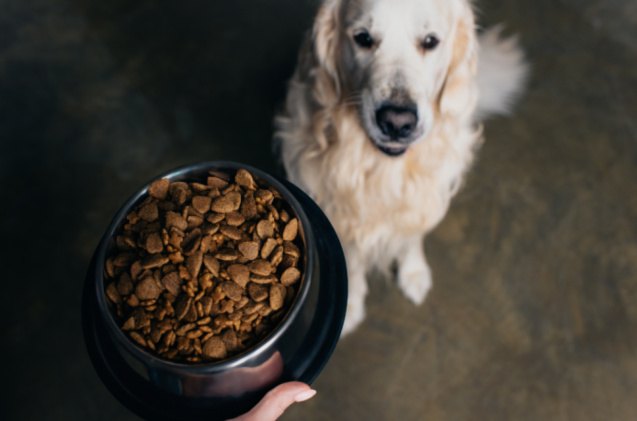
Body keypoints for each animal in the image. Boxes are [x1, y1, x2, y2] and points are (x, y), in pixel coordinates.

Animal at [274, 0, 528, 334]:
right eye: (363, 38)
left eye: (430, 41)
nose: (397, 122)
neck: (384, 168)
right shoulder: (339, 209)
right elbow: (352, 258)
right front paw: (351, 303)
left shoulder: (422, 196)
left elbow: (411, 237)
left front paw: (414, 273)